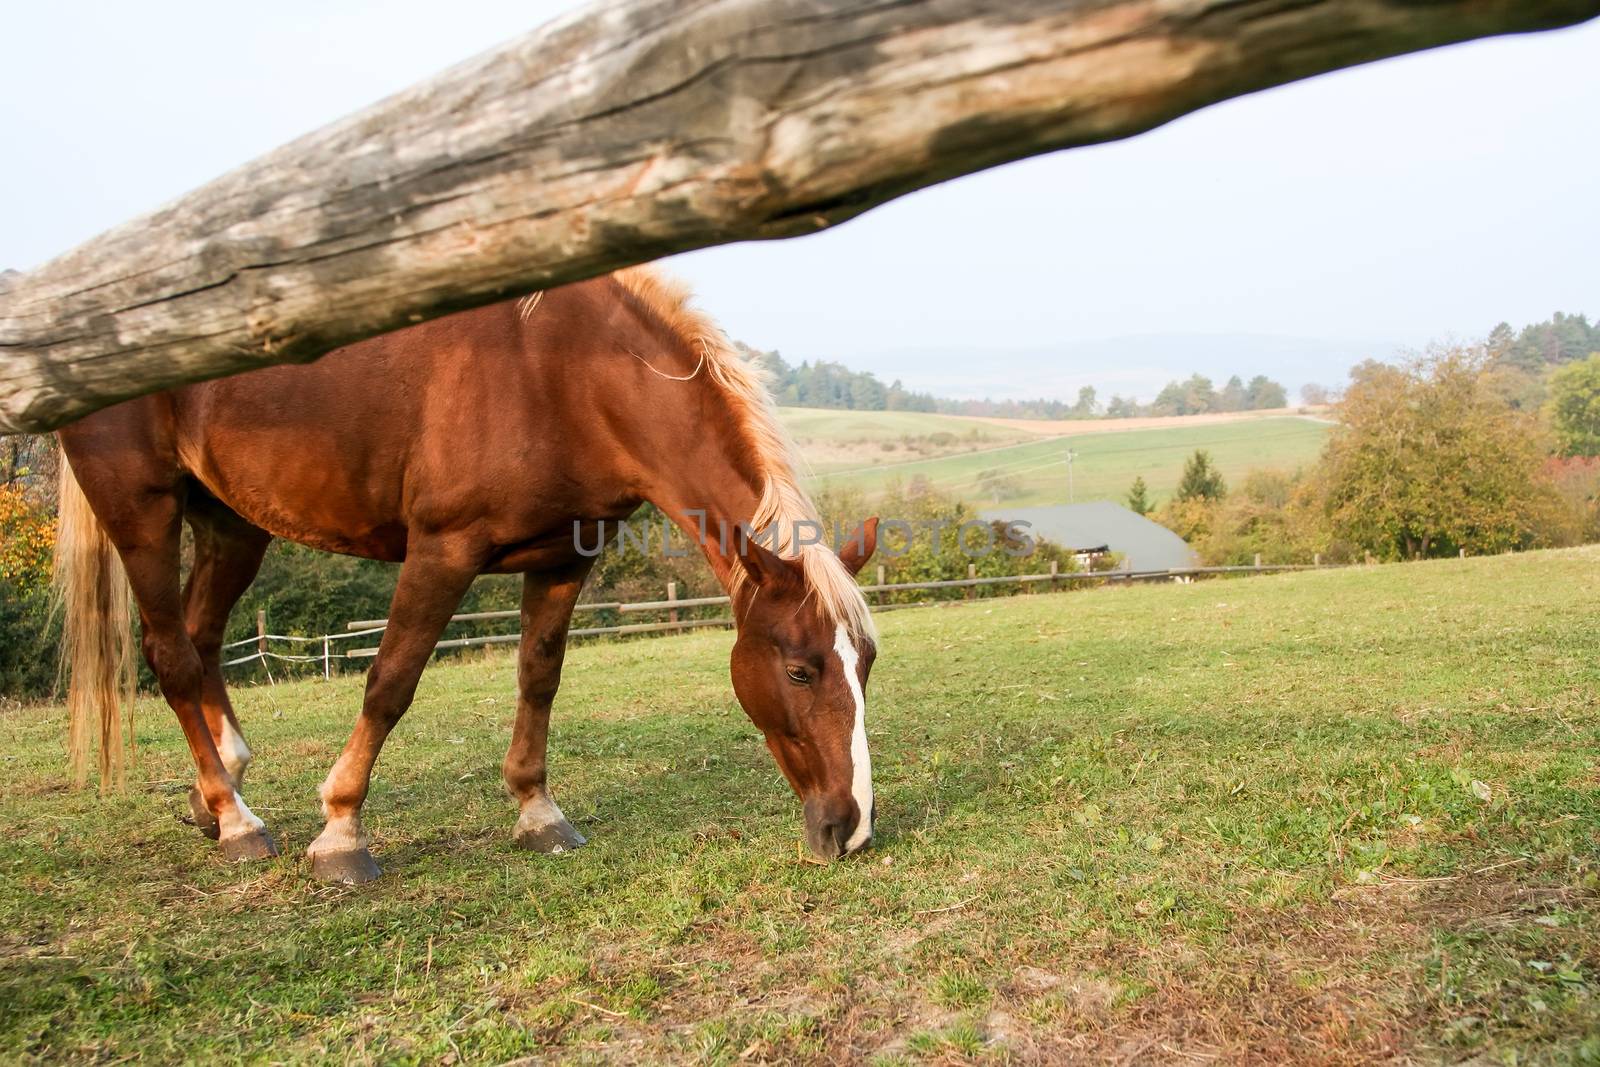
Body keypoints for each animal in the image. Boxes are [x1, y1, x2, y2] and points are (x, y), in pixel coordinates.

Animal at [56, 268, 883, 883]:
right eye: (801, 669)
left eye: (866, 662)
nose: (852, 826)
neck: (563, 371)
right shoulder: (442, 552)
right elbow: (390, 682)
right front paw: (342, 831)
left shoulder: (563, 558)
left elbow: (538, 677)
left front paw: (538, 812)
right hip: (143, 513)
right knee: (169, 653)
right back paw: (236, 822)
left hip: (231, 524)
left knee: (201, 642)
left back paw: (218, 792)